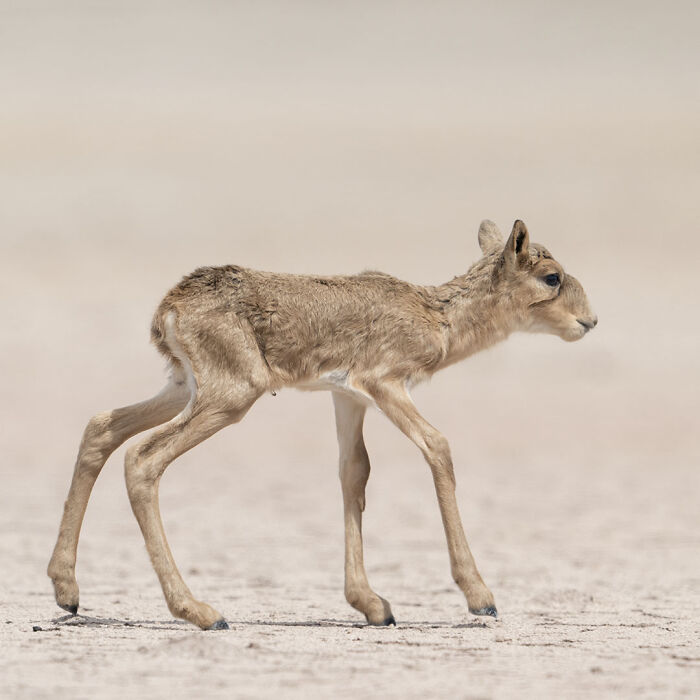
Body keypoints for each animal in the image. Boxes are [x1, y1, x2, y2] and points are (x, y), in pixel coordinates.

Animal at [48, 219, 597, 630]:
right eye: (552, 276)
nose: (589, 321)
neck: (435, 315)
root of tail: (171, 306)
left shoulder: (346, 398)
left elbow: (354, 473)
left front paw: (372, 604)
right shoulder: (385, 382)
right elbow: (438, 446)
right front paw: (480, 595)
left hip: (183, 387)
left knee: (101, 427)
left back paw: (66, 590)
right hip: (230, 396)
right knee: (142, 458)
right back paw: (201, 611)